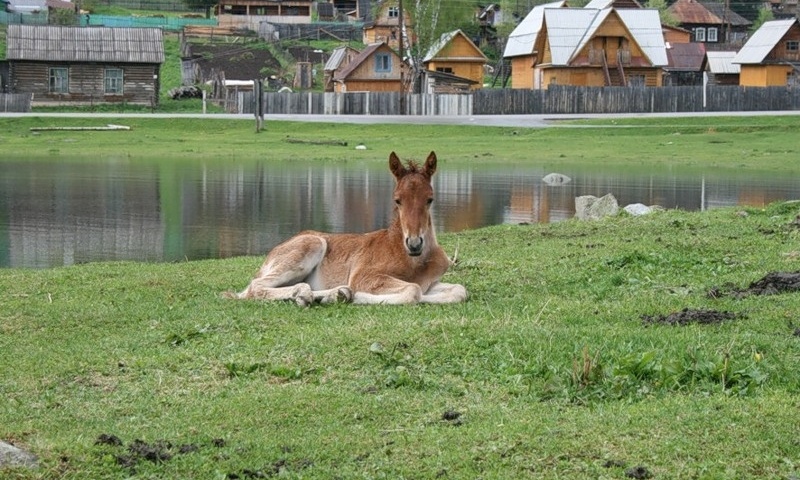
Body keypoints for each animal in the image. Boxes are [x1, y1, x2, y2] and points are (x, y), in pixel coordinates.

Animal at [225, 152, 466, 306]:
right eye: (397, 200)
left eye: (430, 199)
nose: (414, 244)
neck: (415, 261)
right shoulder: (364, 276)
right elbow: (413, 291)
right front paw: (358, 297)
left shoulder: (431, 283)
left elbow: (459, 291)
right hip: (310, 245)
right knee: (254, 287)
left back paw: (332, 295)